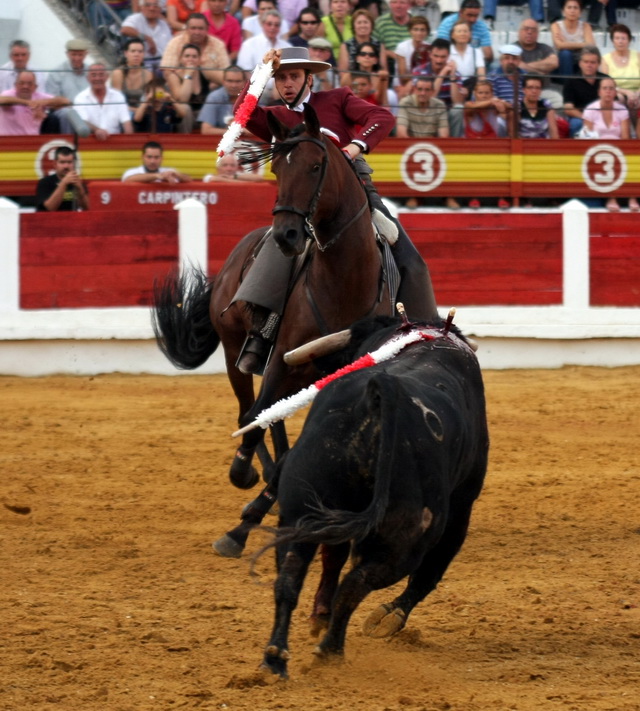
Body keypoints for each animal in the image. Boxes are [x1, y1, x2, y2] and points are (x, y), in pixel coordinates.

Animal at [152, 107, 400, 556]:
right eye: (277, 168)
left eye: (317, 166)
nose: (287, 235)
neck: (344, 279)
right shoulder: (281, 362)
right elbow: (256, 418)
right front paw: (244, 489)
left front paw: (252, 516)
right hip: (236, 352)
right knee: (248, 409)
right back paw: (253, 472)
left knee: (271, 419)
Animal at [260, 318, 490, 680]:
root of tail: (381, 391)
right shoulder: (461, 507)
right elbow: (431, 571)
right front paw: (388, 617)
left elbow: (333, 558)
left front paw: (320, 616)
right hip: (408, 537)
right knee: (358, 582)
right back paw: (330, 650)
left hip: (299, 512)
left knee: (289, 577)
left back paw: (275, 658)